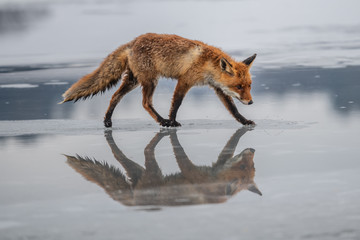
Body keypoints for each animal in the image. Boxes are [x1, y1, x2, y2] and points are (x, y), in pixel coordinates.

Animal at [62, 34, 258, 128]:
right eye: (239, 86)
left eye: (249, 86)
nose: (250, 102)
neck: (207, 64)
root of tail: (133, 42)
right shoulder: (185, 80)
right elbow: (176, 104)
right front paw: (172, 122)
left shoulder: (218, 88)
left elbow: (233, 109)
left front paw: (244, 121)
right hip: (150, 81)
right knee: (145, 103)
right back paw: (163, 121)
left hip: (134, 81)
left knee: (115, 96)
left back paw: (108, 121)